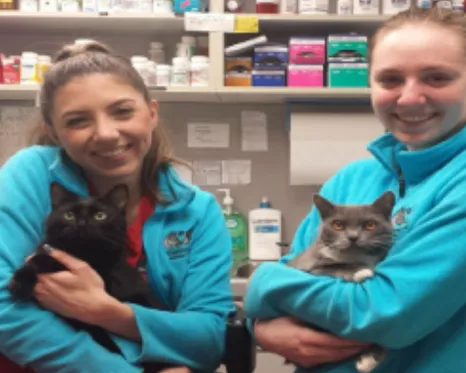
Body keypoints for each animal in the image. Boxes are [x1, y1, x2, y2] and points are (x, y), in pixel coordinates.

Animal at [9, 182, 177, 370]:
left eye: (100, 216)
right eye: (69, 215)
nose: (82, 224)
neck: (84, 256)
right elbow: (39, 260)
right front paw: (20, 282)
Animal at [286, 190, 396, 372]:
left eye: (370, 224)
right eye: (338, 225)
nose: (353, 237)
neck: (357, 256)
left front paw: (369, 358)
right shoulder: (311, 268)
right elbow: (337, 265)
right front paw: (360, 271)